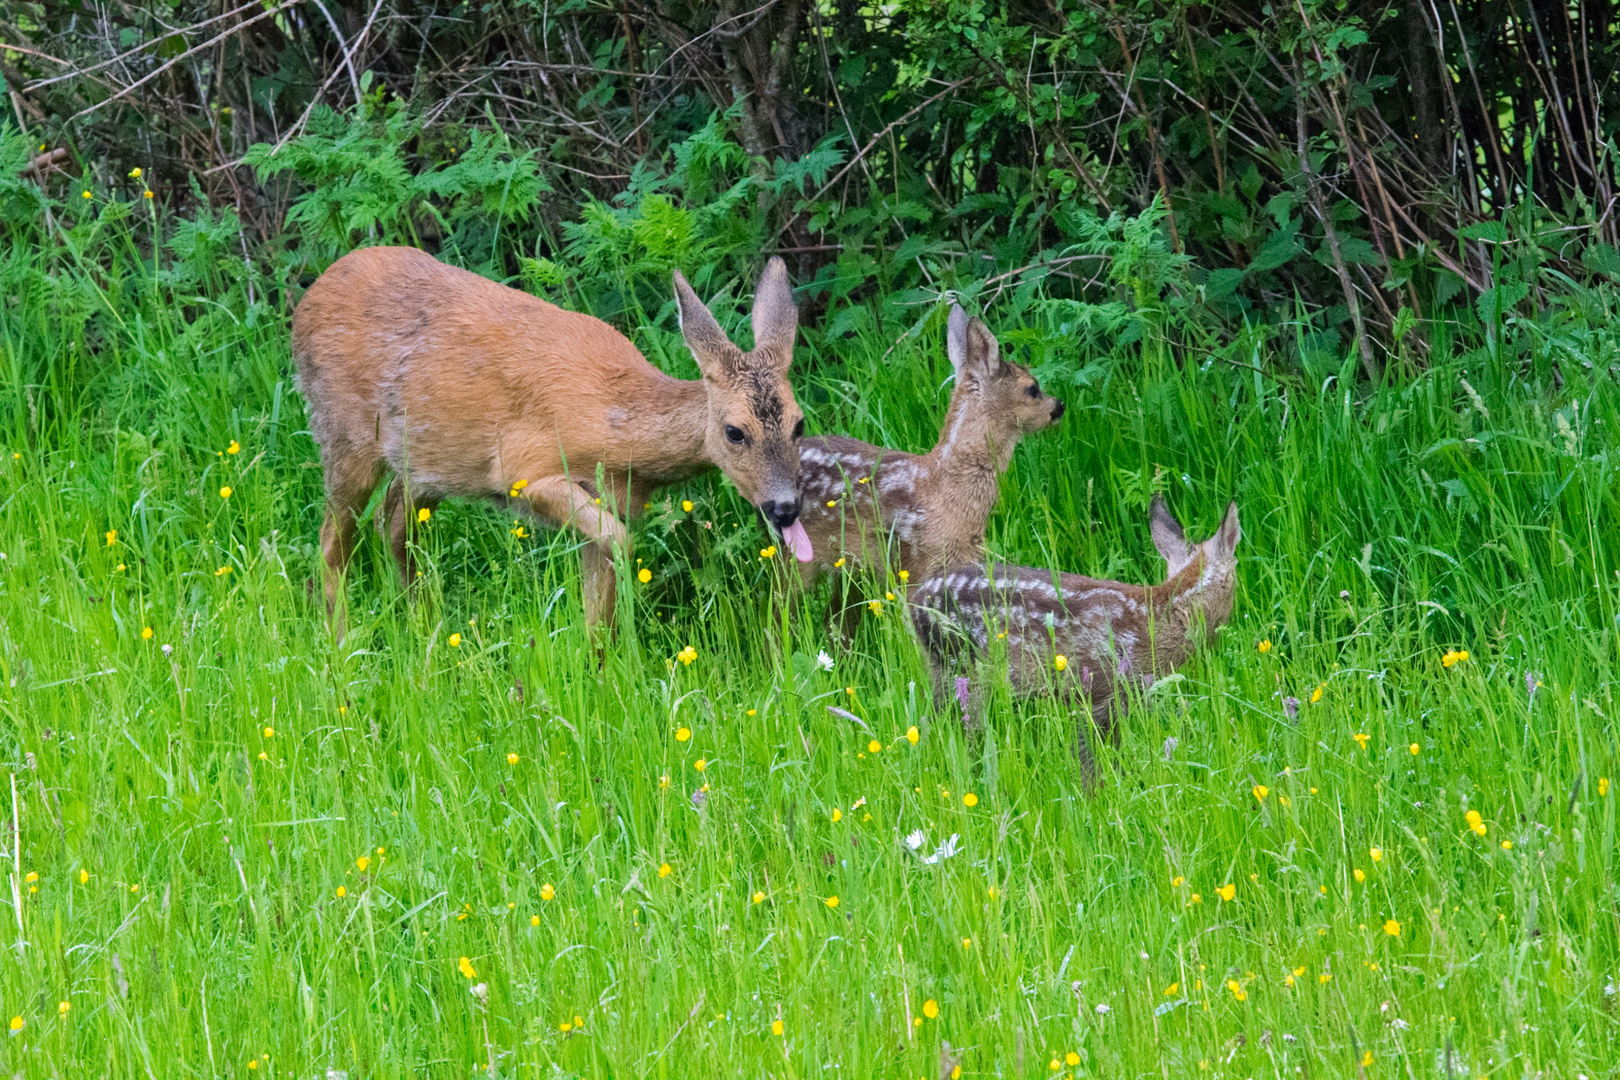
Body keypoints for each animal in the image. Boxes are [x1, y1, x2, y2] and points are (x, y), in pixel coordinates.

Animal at [294, 249, 810, 637]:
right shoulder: (525, 471)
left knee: (394, 524)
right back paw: (341, 641)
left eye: (799, 424)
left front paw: (600, 673)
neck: (618, 430)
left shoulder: (610, 497)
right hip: (344, 434)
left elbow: (600, 593)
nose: (785, 508)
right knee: (333, 539)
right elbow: (620, 543)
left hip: (425, 462)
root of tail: (307, 301)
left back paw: (424, 629)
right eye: (734, 431)